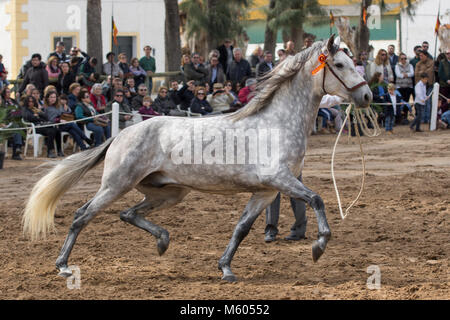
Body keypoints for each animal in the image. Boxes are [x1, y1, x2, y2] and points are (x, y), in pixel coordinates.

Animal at [22, 35, 372, 282]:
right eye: (340, 65)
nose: (367, 96)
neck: (277, 122)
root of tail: (122, 134)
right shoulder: (279, 180)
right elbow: (317, 199)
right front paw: (319, 246)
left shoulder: (265, 192)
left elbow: (241, 228)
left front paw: (226, 269)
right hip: (116, 184)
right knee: (82, 215)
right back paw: (63, 266)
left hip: (169, 192)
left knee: (127, 213)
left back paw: (163, 241)